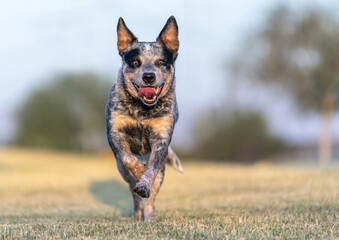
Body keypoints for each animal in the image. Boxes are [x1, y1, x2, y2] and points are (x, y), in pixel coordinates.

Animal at [107, 15, 185, 221]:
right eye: (135, 62)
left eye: (161, 62)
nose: (148, 77)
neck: (142, 110)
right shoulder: (115, 132)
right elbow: (129, 159)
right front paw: (140, 171)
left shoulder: (161, 139)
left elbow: (152, 170)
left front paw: (145, 179)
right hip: (121, 171)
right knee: (134, 195)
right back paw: (136, 214)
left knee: (151, 199)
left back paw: (149, 217)